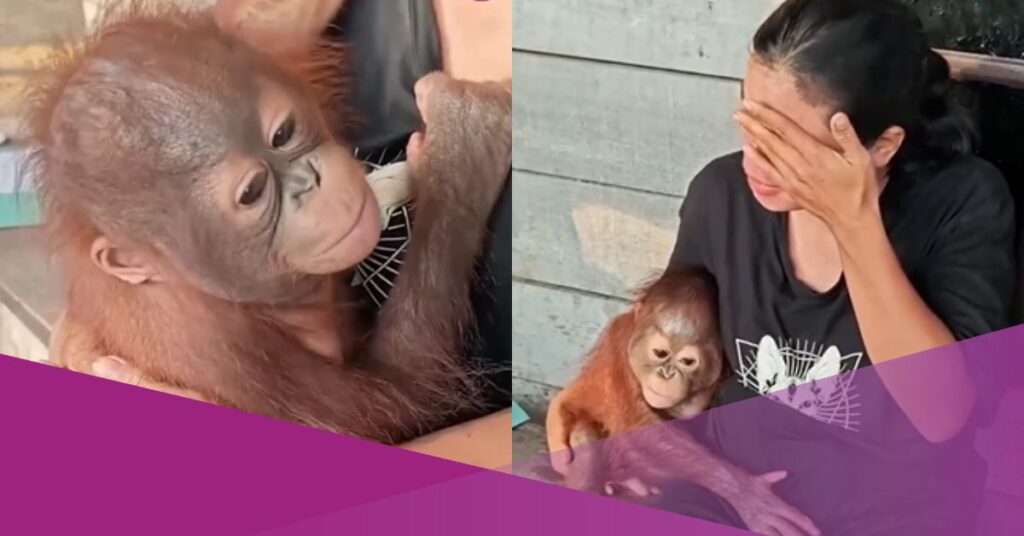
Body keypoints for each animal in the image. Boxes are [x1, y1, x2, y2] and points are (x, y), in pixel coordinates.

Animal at [26, 2, 511, 444]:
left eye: (283, 133)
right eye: (252, 192)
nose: (310, 182)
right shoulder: (212, 353)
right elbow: (408, 392)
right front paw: (465, 138)